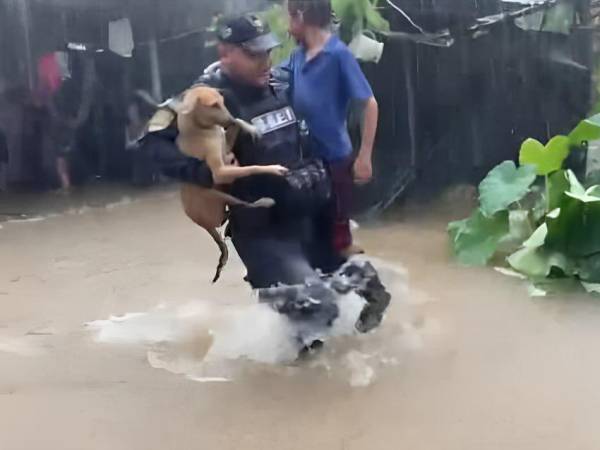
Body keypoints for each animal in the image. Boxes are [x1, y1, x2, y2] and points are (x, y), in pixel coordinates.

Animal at [170, 85, 288, 282]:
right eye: (213, 105)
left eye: (222, 101)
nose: (229, 118)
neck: (200, 128)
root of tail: (204, 224)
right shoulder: (219, 171)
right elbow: (252, 168)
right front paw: (274, 169)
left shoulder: (224, 146)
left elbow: (237, 125)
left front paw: (250, 127)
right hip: (214, 194)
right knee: (242, 205)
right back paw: (263, 202)